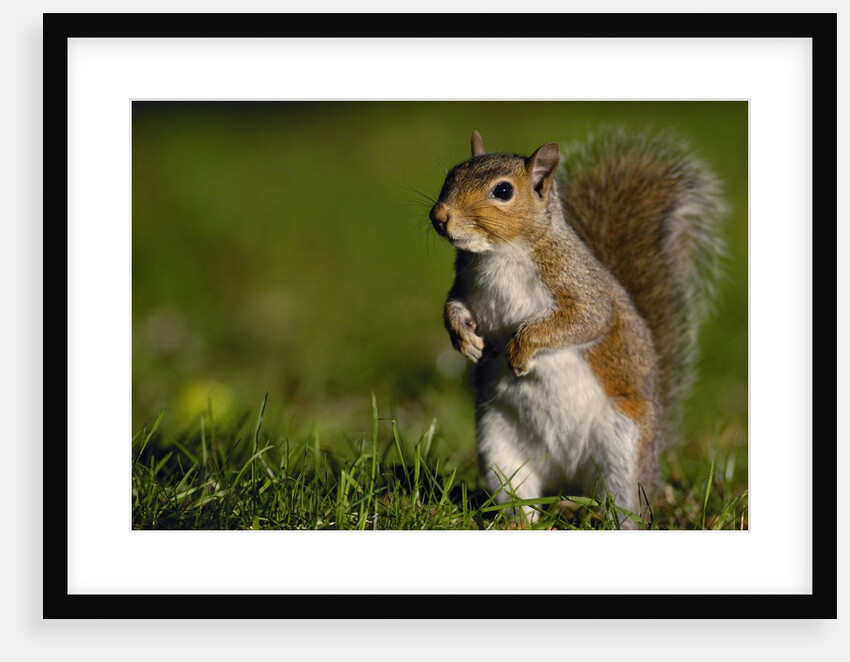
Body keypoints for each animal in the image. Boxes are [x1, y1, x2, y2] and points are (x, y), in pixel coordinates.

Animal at [429, 129, 724, 527]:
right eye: (451, 174)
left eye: (503, 191)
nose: (439, 216)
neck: (498, 253)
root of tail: (566, 476)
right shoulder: (465, 286)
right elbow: (453, 308)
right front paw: (465, 340)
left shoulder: (581, 289)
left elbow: (584, 321)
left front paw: (521, 350)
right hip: (499, 449)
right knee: (518, 495)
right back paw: (519, 522)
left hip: (623, 450)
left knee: (625, 504)